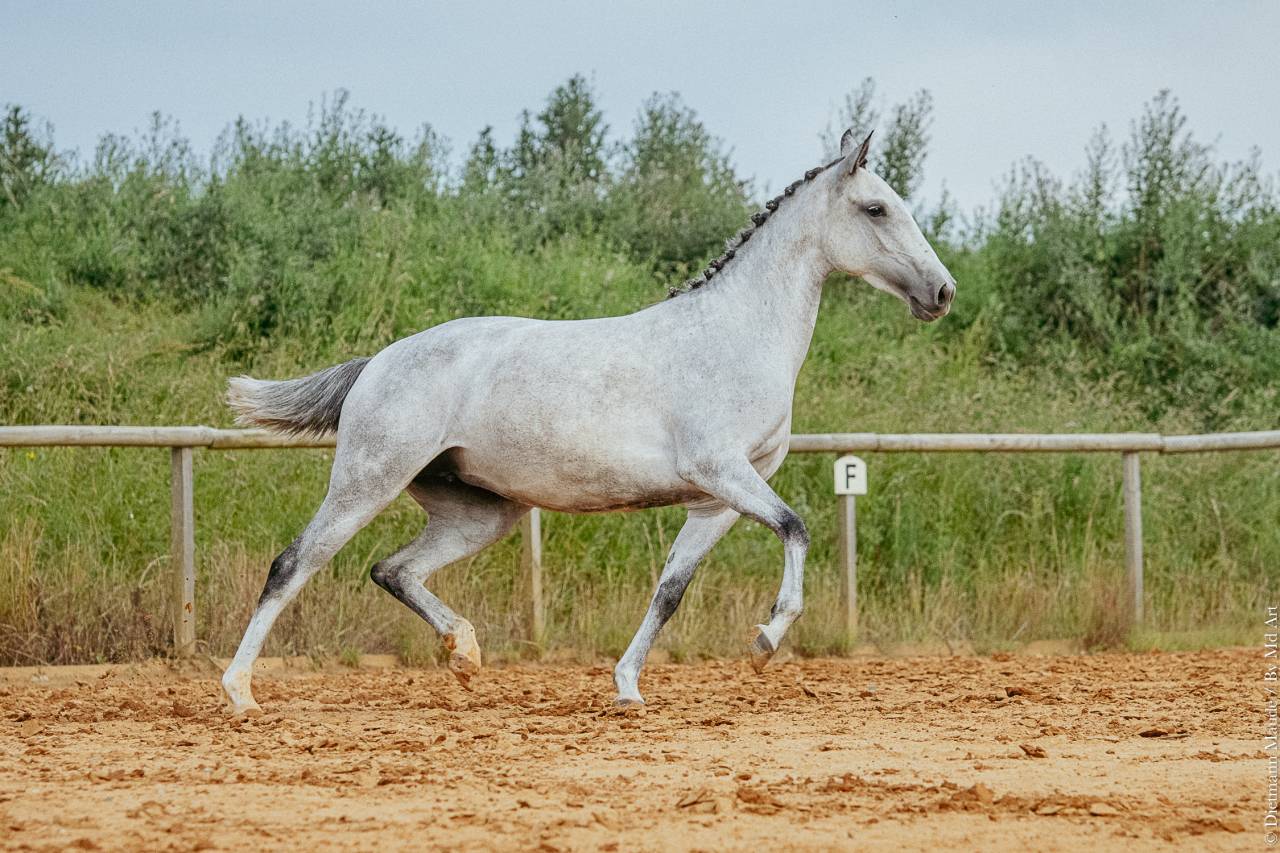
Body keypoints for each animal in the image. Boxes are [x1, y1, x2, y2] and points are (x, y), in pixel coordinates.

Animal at [220, 129, 956, 716]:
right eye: (875, 208)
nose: (942, 292)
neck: (734, 335)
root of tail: (377, 362)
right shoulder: (722, 470)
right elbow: (796, 528)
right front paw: (764, 642)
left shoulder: (714, 501)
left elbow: (670, 591)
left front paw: (628, 688)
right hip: (368, 480)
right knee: (294, 564)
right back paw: (240, 692)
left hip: (481, 512)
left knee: (392, 569)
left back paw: (464, 654)